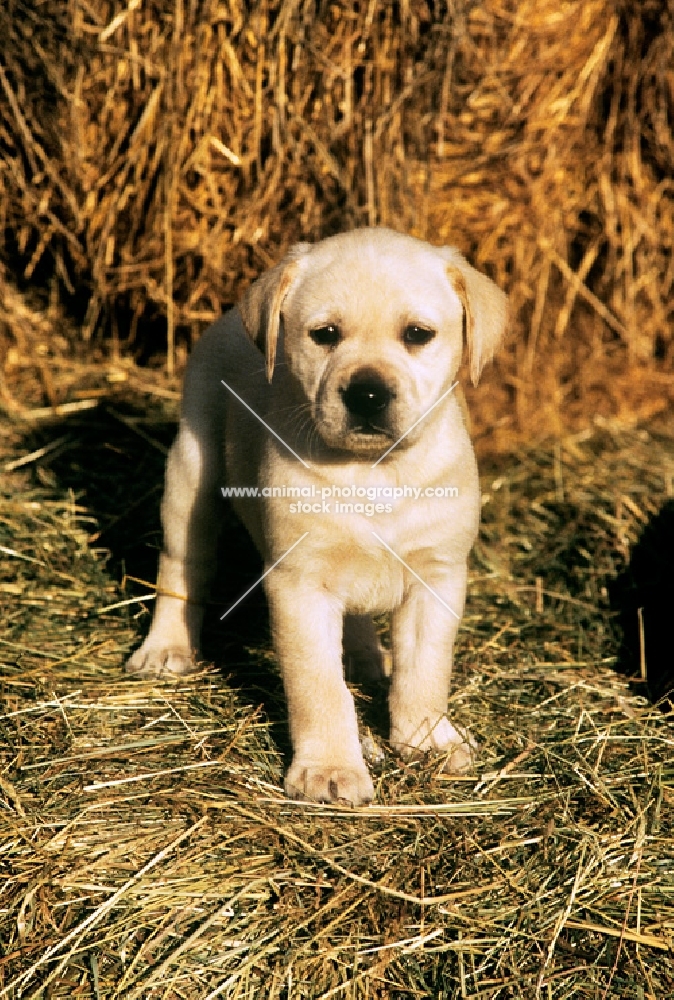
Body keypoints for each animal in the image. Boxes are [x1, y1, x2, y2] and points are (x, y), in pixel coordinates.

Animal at [124, 229, 504, 804]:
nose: (366, 392)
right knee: (182, 565)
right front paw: (330, 769)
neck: (373, 472)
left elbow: (425, 670)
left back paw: (371, 661)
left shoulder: (436, 577)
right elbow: (319, 686)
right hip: (190, 474)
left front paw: (426, 740)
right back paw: (164, 648)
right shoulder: (300, 584)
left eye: (417, 334)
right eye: (325, 335)